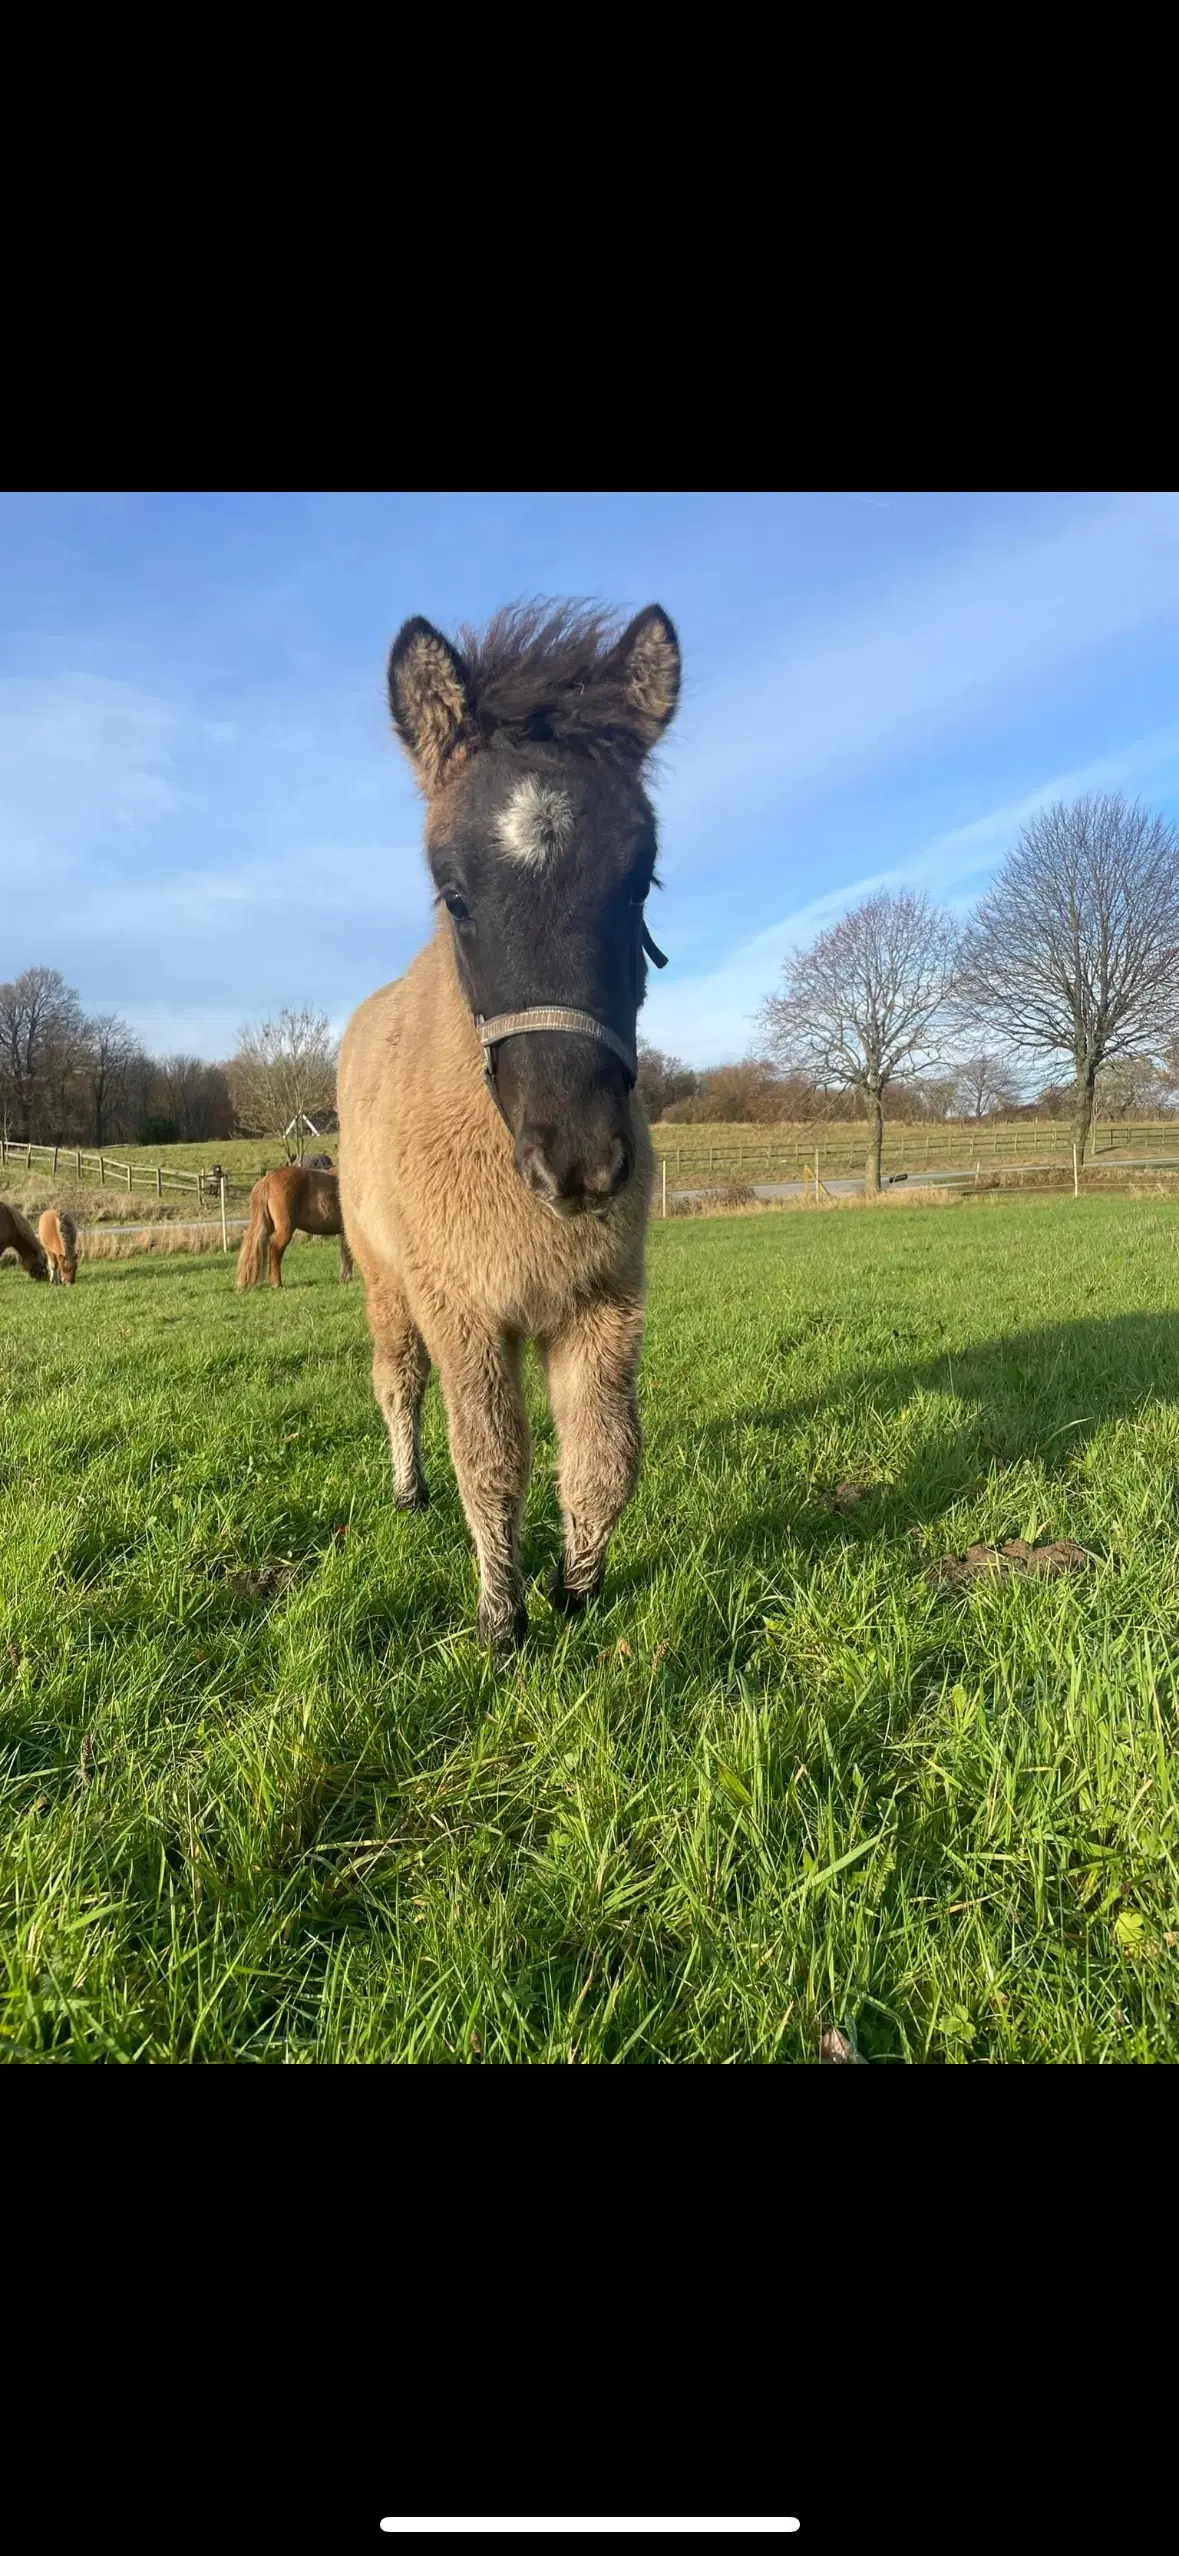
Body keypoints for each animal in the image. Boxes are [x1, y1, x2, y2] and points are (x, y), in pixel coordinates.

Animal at [234, 1160, 350, 1288]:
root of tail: (267, 1180)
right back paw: (276, 1283)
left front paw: (344, 1279)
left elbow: (345, 1254)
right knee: (274, 1250)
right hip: (285, 1229)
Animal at [335, 592, 675, 1656]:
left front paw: (576, 1594)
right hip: (384, 1275)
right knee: (397, 1378)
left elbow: (604, 1455)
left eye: (641, 882)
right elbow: (489, 1457)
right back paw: (407, 1491)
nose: (578, 1161)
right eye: (453, 895)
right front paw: (501, 1624)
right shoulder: (464, 1306)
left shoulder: (604, 1301)